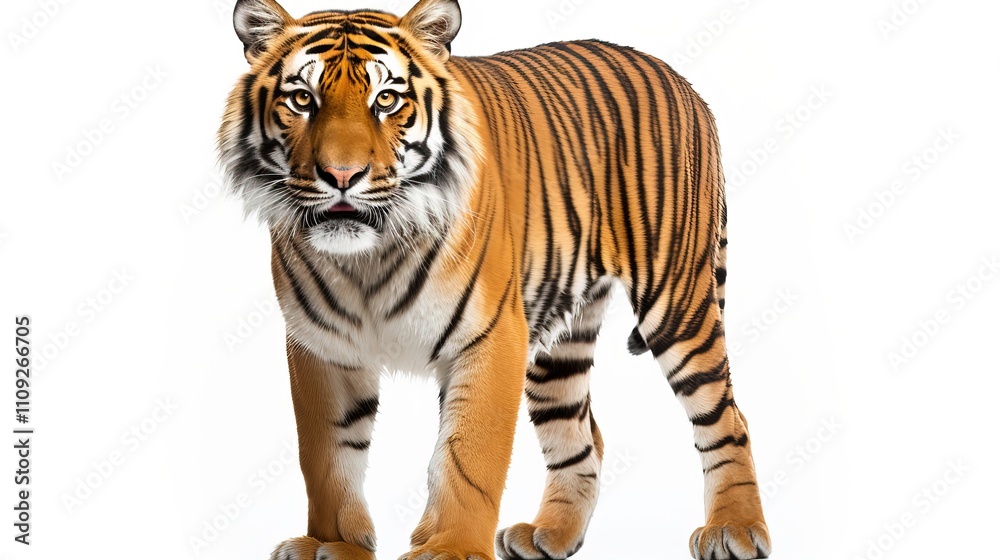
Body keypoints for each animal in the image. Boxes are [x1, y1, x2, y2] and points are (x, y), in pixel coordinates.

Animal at [218, 0, 771, 558]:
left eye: (386, 100)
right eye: (302, 99)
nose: (341, 176)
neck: (368, 259)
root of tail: (679, 78)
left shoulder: (490, 337)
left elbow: (468, 456)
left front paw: (452, 548)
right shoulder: (323, 348)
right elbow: (327, 456)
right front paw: (332, 543)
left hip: (675, 302)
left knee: (727, 418)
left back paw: (735, 528)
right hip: (559, 337)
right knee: (582, 434)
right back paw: (552, 534)